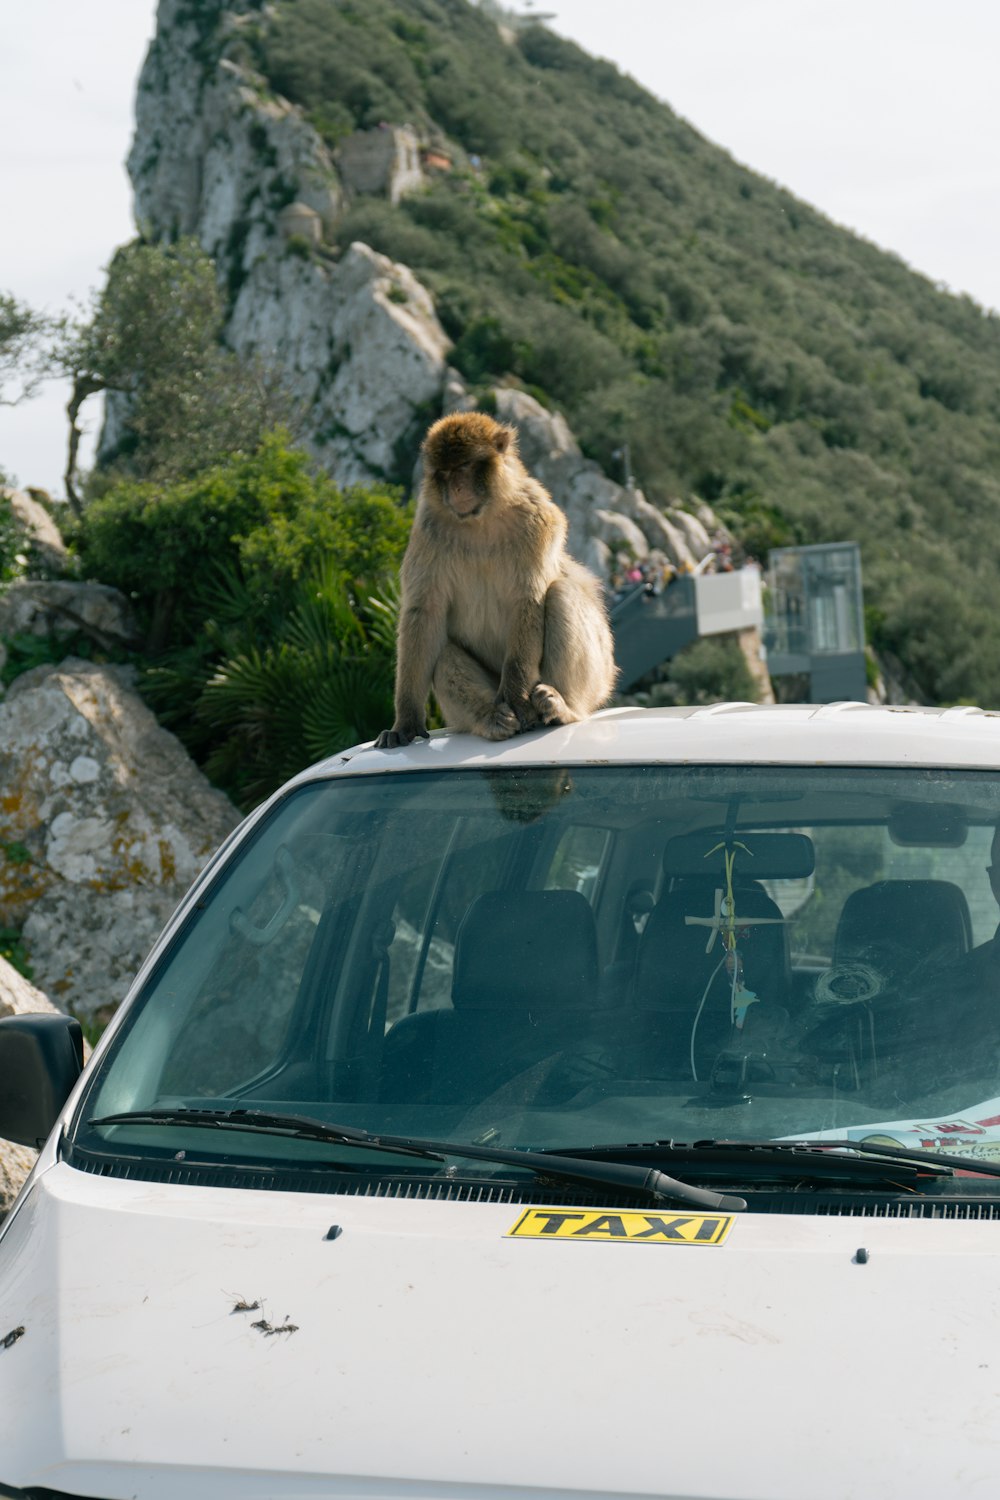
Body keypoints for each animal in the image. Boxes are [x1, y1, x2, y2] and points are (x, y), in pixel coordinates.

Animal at [374, 411, 617, 744]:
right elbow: (424, 613)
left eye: (463, 467)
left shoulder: (539, 517)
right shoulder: (427, 527)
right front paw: (406, 722)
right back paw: (491, 718)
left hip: (600, 677)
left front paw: (517, 698)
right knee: (444, 651)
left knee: (561, 594)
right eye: (444, 473)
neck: (481, 518)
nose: (456, 490)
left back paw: (563, 708)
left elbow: (528, 600)